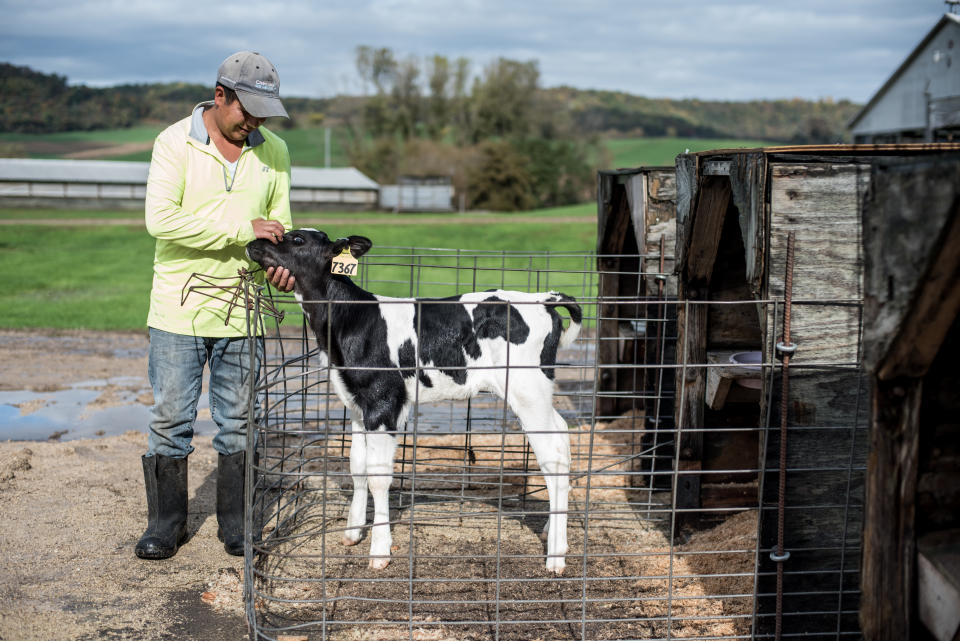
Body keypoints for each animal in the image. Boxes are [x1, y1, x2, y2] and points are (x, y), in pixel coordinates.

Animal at [244, 230, 580, 576]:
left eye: (297, 239)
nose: (255, 241)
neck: (352, 319)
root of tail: (544, 298)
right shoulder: (357, 405)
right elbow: (357, 467)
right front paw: (352, 532)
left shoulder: (383, 403)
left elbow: (379, 478)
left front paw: (379, 550)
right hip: (537, 392)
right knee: (563, 436)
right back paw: (552, 530)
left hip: (527, 390)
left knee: (553, 457)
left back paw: (556, 556)